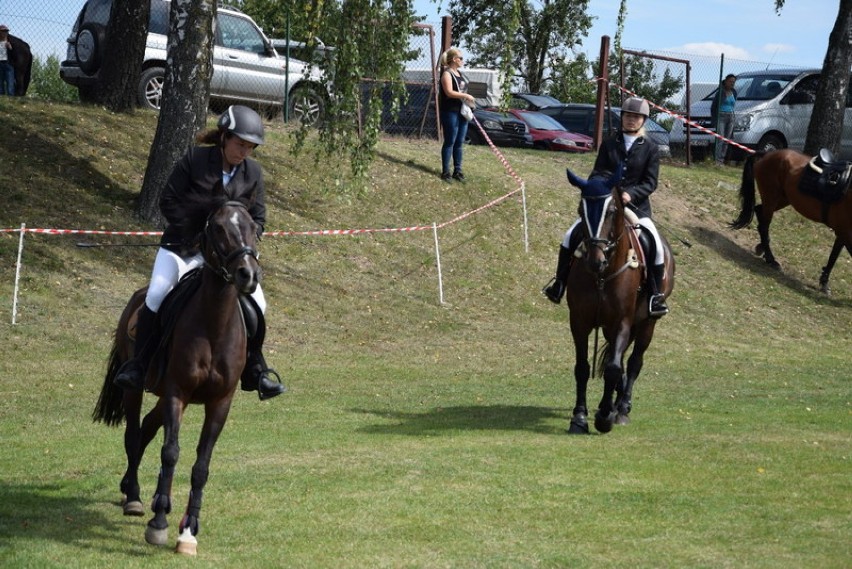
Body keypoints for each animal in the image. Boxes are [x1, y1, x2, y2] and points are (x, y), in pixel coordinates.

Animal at [91, 191, 262, 556]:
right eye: (219, 228)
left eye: (253, 227)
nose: (248, 275)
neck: (214, 323)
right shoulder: (176, 393)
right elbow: (170, 452)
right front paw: (158, 524)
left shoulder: (219, 402)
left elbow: (201, 466)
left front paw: (188, 531)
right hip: (137, 389)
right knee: (133, 433)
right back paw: (135, 497)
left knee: (146, 429)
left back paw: (146, 494)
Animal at [564, 171, 676, 432]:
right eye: (580, 209)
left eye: (612, 210)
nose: (596, 261)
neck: (603, 276)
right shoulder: (579, 321)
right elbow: (583, 367)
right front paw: (580, 417)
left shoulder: (622, 321)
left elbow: (614, 368)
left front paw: (605, 417)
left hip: (646, 323)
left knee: (634, 362)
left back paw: (622, 408)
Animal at [724, 149, 852, 292]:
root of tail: (767, 154)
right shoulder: (845, 233)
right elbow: (835, 255)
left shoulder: (843, 232)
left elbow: (833, 256)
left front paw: (824, 282)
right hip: (771, 198)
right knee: (764, 225)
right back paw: (771, 259)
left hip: (782, 199)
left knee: (759, 211)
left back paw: (762, 248)